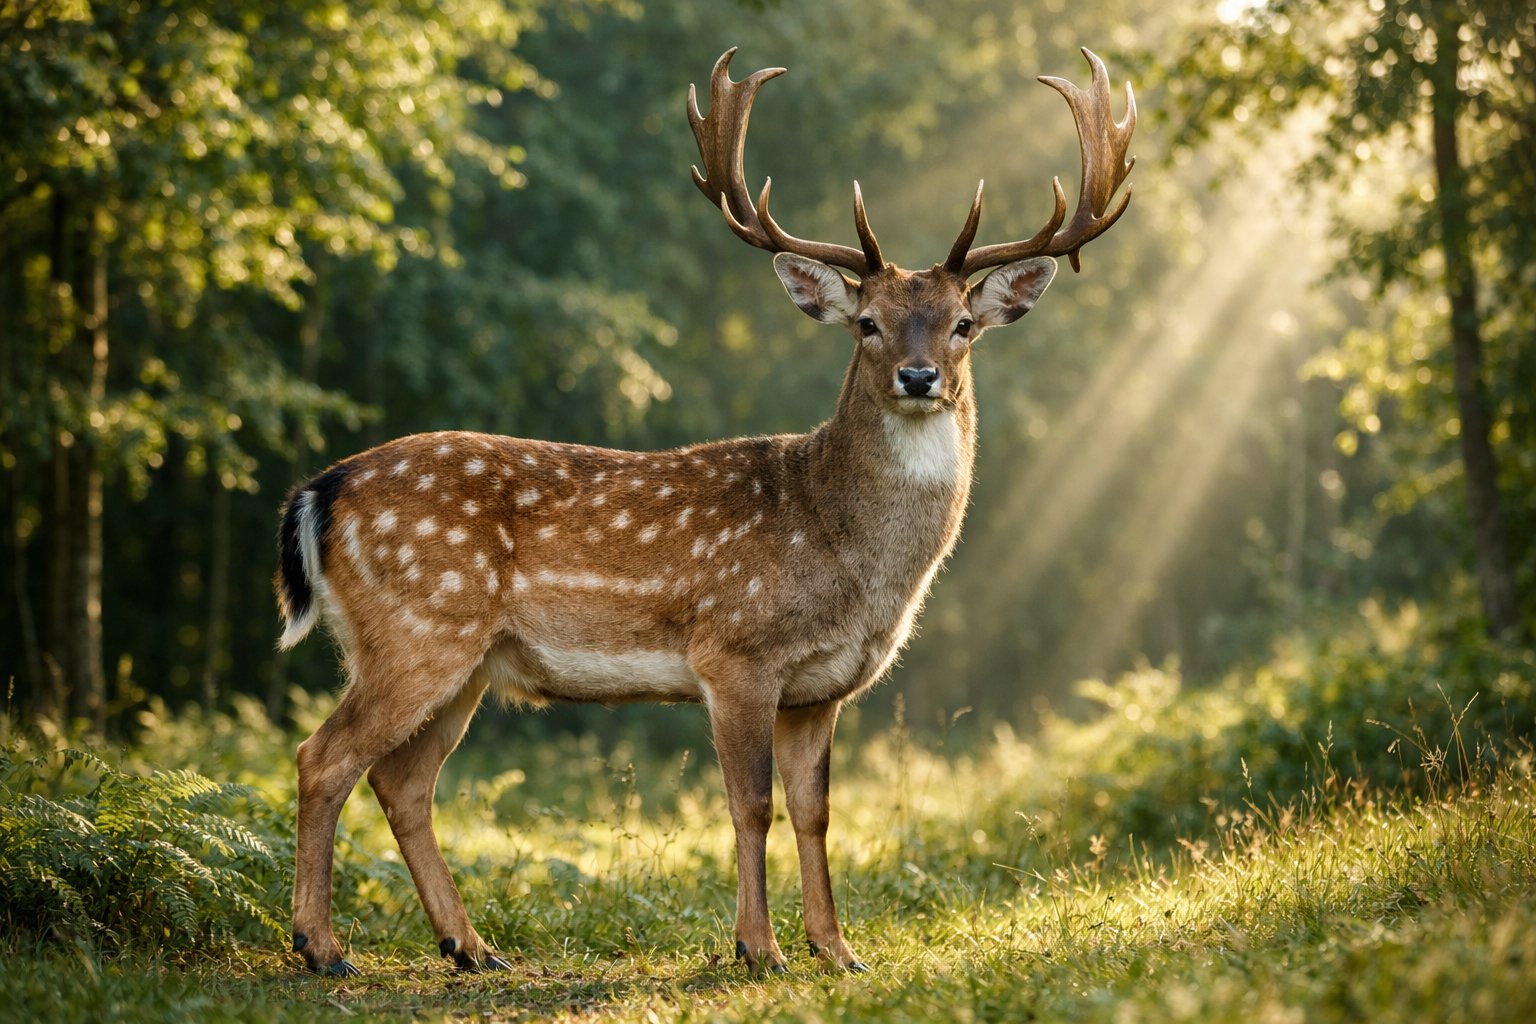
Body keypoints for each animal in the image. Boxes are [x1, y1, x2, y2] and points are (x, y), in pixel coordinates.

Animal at [275, 45, 1134, 977]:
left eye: (964, 323)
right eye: (867, 323)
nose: (918, 377)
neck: (844, 552)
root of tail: (321, 492)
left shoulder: (821, 687)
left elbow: (817, 812)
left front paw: (838, 950)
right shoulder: (734, 653)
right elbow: (749, 805)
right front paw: (759, 949)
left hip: (467, 663)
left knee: (402, 780)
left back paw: (470, 947)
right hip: (417, 628)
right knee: (323, 757)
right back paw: (322, 947)